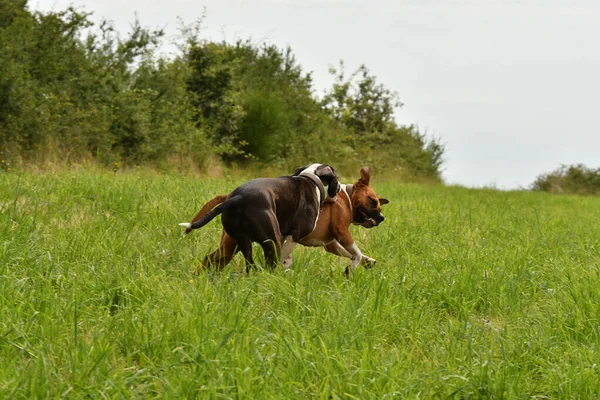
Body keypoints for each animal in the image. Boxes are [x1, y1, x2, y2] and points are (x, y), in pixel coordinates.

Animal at [184, 166, 390, 276]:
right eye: (373, 201)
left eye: (380, 206)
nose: (381, 217)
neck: (347, 198)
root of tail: (233, 196)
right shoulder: (341, 233)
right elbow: (356, 253)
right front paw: (352, 269)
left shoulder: (331, 243)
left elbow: (354, 254)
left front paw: (368, 261)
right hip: (266, 241)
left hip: (230, 246)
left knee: (211, 260)